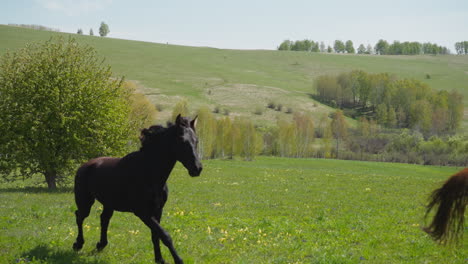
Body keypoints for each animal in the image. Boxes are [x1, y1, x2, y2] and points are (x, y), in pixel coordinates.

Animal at [72, 115, 201, 264]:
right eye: (181, 141)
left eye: (196, 140)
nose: (197, 168)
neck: (149, 173)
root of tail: (84, 166)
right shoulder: (142, 212)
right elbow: (165, 235)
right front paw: (178, 260)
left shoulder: (158, 210)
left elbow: (155, 235)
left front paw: (159, 259)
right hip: (85, 201)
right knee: (80, 216)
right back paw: (78, 244)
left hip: (108, 203)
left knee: (104, 219)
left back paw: (100, 245)